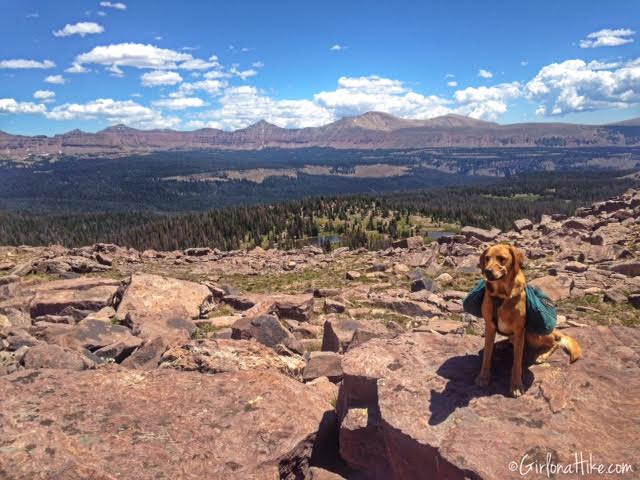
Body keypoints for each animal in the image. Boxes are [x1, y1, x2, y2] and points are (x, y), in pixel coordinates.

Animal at [476, 244, 580, 398]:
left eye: (502, 259)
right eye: (487, 258)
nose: (487, 271)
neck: (501, 296)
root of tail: (554, 331)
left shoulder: (520, 331)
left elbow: (517, 363)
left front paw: (516, 385)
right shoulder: (489, 326)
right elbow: (486, 357)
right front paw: (483, 377)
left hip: (534, 335)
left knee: (555, 343)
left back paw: (542, 355)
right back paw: (502, 344)